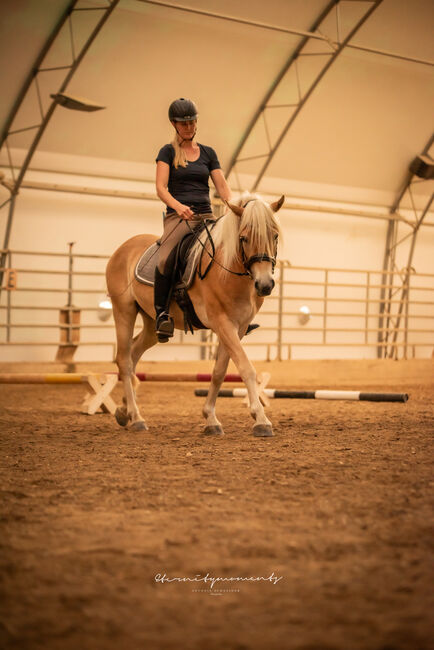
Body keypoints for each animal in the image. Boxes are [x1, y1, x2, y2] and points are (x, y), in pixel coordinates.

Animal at [106, 192, 284, 436]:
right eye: (244, 238)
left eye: (275, 236)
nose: (265, 285)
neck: (228, 270)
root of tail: (123, 249)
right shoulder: (223, 323)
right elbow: (246, 368)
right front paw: (261, 420)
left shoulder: (237, 328)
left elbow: (219, 371)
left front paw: (210, 418)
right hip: (123, 311)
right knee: (124, 360)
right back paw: (136, 417)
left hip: (152, 323)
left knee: (132, 355)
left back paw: (124, 411)